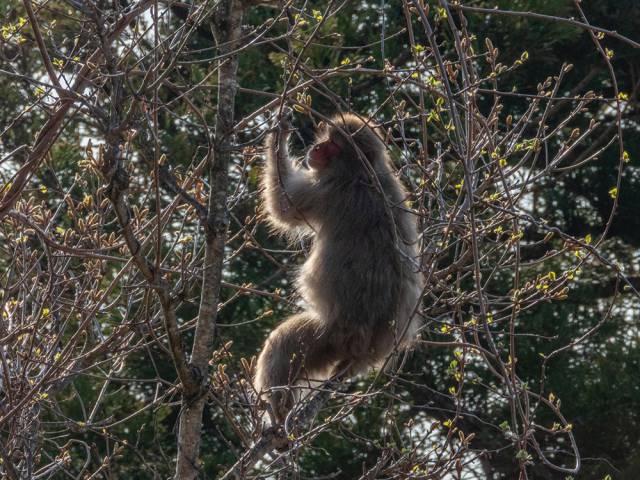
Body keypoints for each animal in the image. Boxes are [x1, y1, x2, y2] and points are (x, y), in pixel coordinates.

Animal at [255, 110, 424, 422]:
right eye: (325, 139)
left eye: (332, 145)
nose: (316, 148)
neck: (363, 173)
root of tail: (368, 347)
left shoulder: (326, 190)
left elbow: (282, 206)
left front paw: (279, 134)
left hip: (331, 335)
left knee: (284, 343)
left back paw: (277, 410)